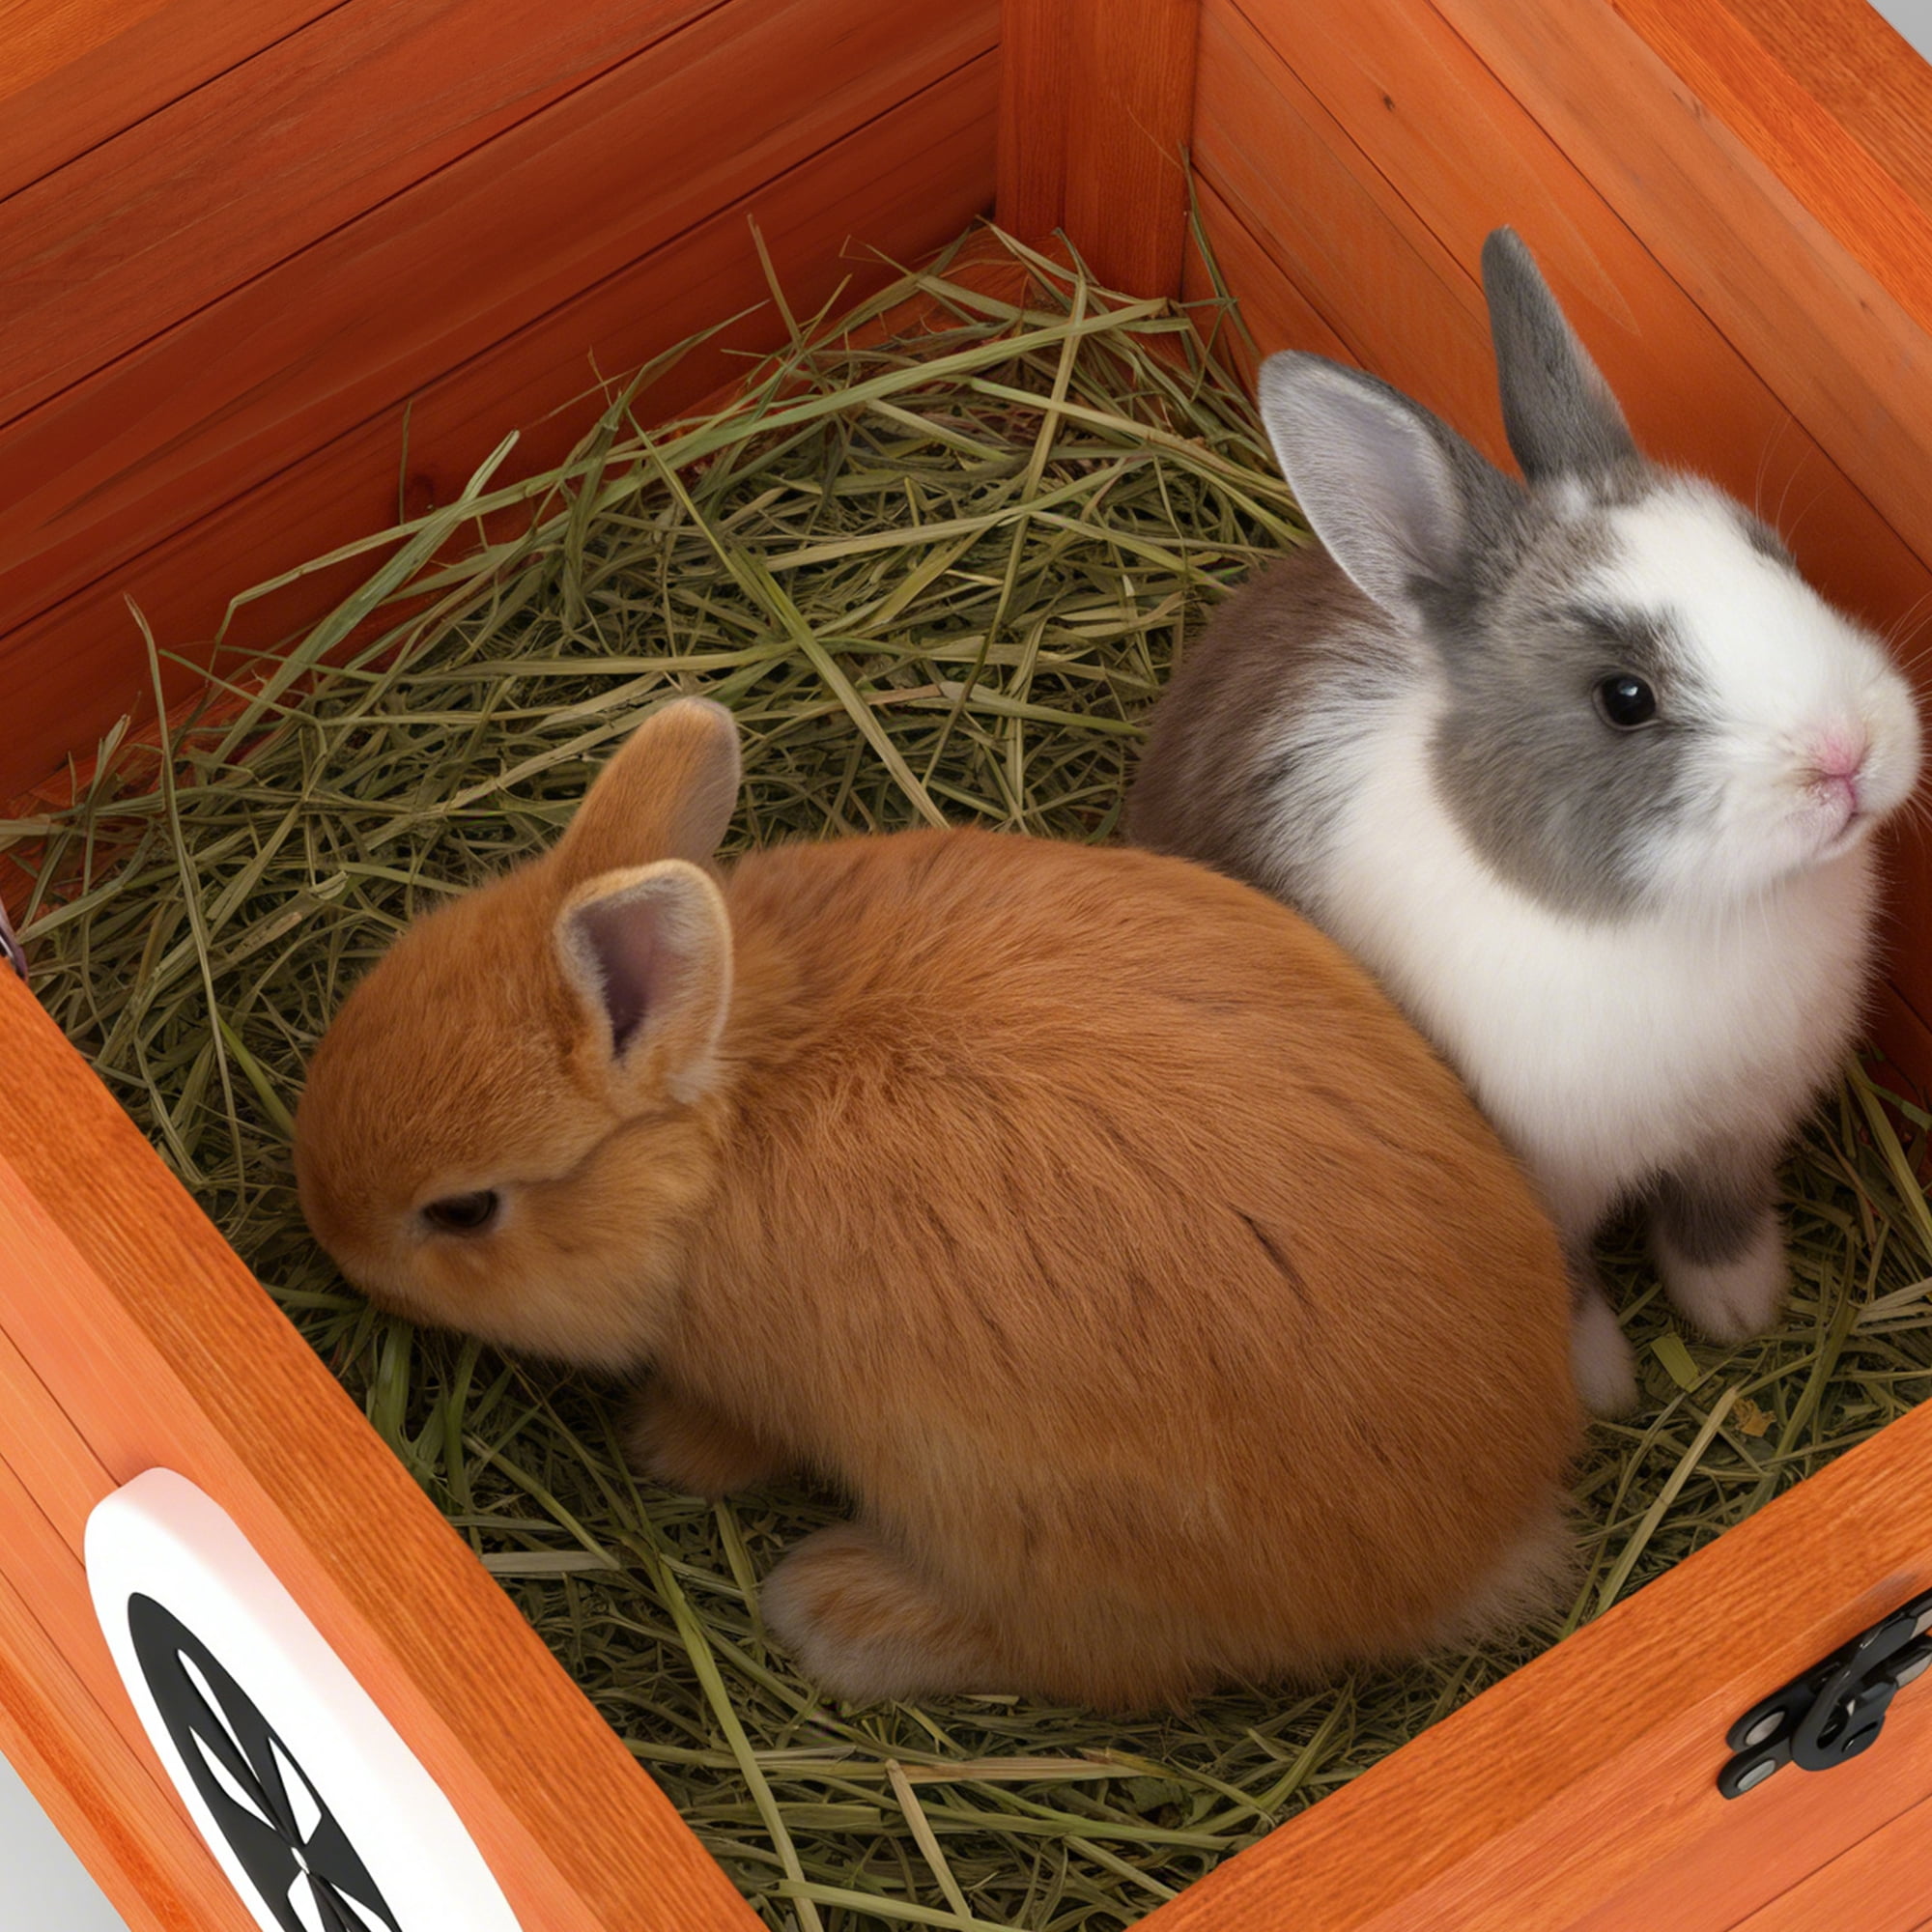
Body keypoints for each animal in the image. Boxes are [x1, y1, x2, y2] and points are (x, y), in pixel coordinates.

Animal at [293, 696, 1582, 1711]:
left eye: (465, 1210)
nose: (328, 1234)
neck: (736, 1107)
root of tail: (1482, 1545)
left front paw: (669, 1450)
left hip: (1025, 1527)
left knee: (1086, 1659)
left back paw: (837, 1607)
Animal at [1126, 227, 1924, 1418]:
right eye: (1623, 697)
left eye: (1771, 554)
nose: (1845, 756)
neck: (1695, 919)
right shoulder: (1533, 1171)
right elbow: (1566, 1276)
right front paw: (1601, 1386)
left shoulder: (1738, 1132)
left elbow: (1716, 1219)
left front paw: (1738, 1307)